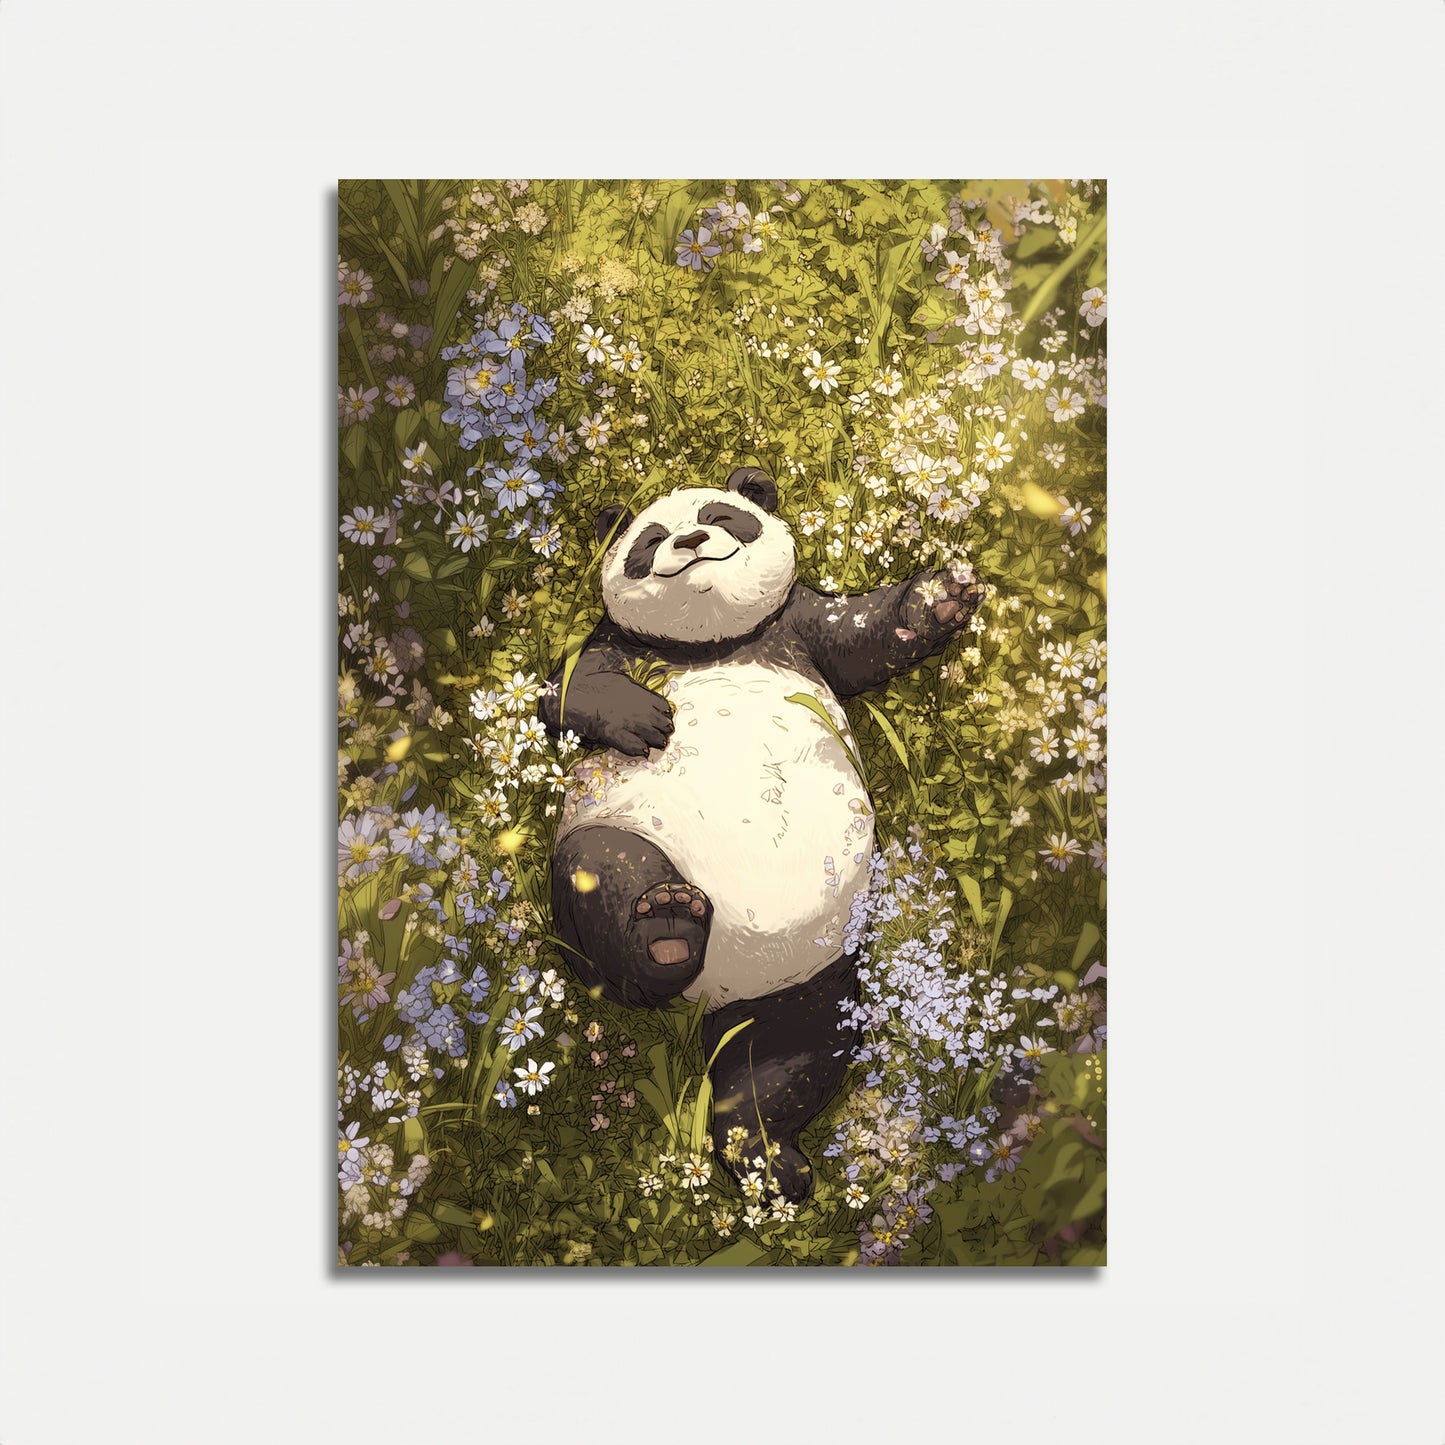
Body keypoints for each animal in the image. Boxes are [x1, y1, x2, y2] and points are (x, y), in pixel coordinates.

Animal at [538, 466, 984, 1201]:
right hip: (613, 838)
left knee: (780, 1063)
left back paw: (768, 1159)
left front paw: (943, 594)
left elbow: (860, 634)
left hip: (810, 978)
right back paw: (664, 928)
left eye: (722, 517)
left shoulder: (794, 625)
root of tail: (705, 999)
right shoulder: (615, 641)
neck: (711, 640)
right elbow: (567, 687)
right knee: (603, 875)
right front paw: (643, 718)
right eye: (649, 541)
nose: (690, 542)